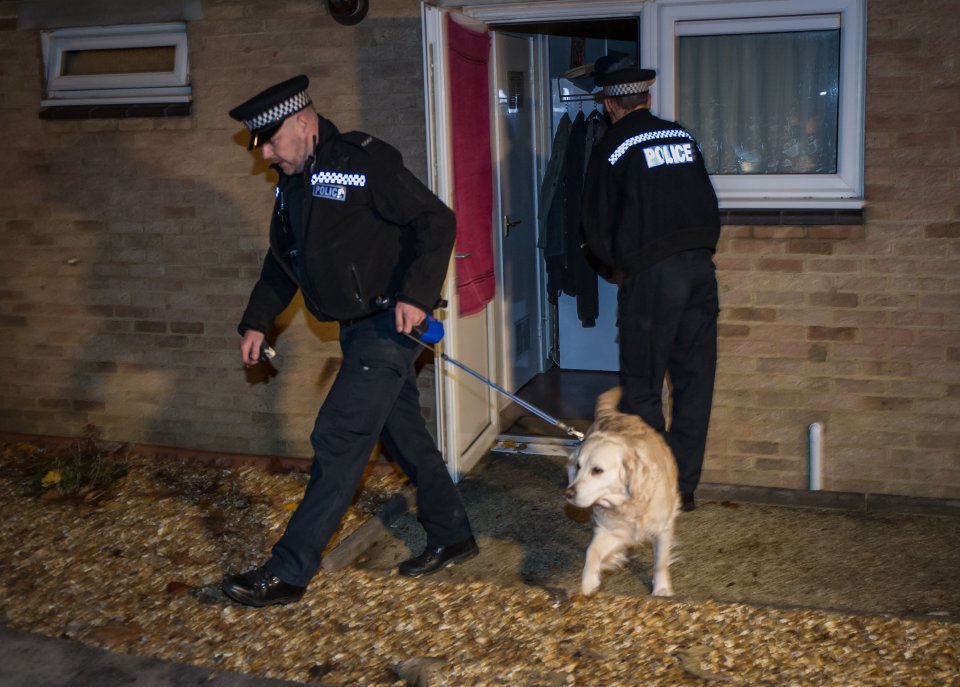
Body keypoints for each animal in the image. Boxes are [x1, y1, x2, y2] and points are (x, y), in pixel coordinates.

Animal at [568, 388, 680, 596]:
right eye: (578, 467)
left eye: (597, 470)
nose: (568, 493)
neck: (628, 504)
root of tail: (611, 413)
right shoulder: (610, 530)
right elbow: (591, 552)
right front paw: (589, 583)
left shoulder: (662, 529)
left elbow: (660, 562)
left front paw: (661, 589)